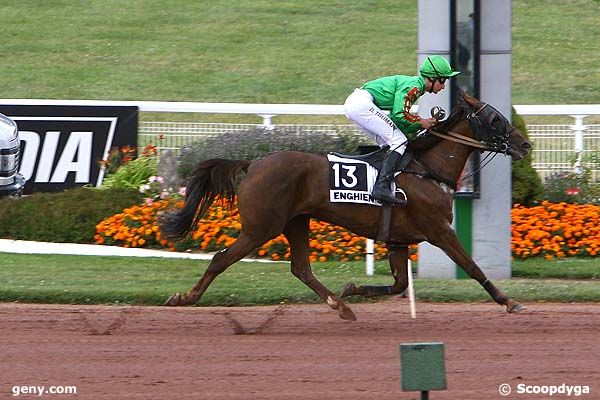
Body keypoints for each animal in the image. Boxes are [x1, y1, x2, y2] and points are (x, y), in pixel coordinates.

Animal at [159, 92, 528, 320]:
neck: (427, 169)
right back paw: (184, 298)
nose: (524, 144)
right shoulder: (439, 231)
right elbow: (473, 267)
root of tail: (252, 163)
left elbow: (400, 284)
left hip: (296, 221)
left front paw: (353, 289)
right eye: (495, 120)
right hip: (260, 227)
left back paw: (341, 306)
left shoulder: (398, 240)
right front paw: (509, 301)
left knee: (301, 269)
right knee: (221, 260)